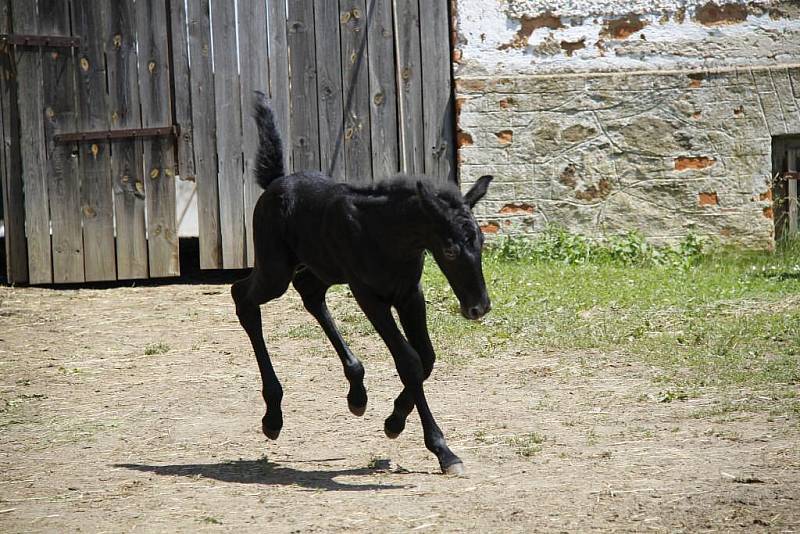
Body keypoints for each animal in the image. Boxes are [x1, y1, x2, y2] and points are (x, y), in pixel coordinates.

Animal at [231, 93, 494, 478]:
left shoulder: (409, 293)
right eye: (448, 249)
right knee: (242, 296)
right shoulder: (369, 295)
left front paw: (394, 421)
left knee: (310, 293)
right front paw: (443, 451)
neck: (387, 234)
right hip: (275, 269)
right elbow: (410, 361)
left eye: (482, 242)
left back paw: (356, 392)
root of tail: (274, 184)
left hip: (321, 267)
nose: (479, 307)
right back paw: (273, 416)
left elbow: (427, 357)